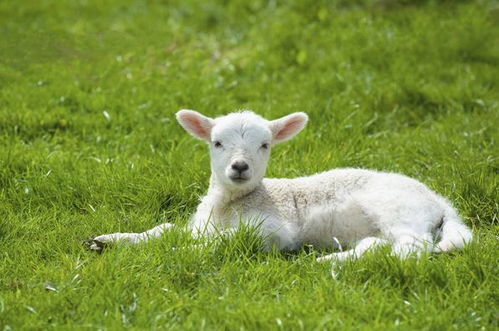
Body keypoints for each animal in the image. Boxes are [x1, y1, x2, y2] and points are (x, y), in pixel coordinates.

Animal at [90, 109, 472, 262]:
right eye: (216, 142)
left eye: (265, 145)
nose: (239, 166)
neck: (229, 204)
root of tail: (440, 202)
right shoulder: (199, 225)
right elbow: (164, 229)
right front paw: (109, 240)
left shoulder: (274, 230)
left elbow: (223, 241)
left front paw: (179, 253)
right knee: (378, 245)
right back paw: (337, 259)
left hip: (397, 209)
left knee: (412, 247)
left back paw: (331, 264)